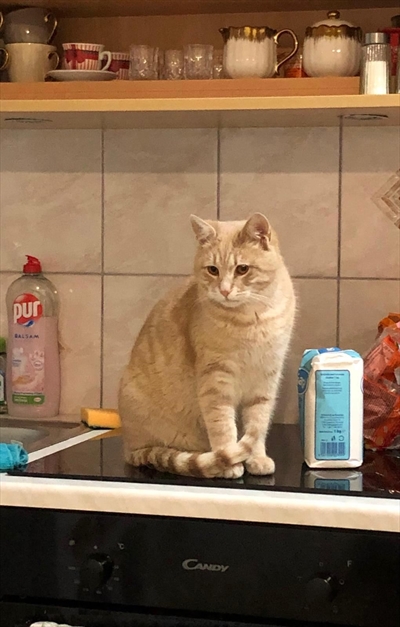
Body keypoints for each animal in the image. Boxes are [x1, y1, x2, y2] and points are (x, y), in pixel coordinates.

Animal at [119, 213, 296, 479]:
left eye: (242, 269)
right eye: (213, 270)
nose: (224, 290)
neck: (251, 318)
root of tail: (129, 448)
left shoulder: (266, 378)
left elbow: (257, 423)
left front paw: (257, 458)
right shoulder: (215, 381)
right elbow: (223, 428)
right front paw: (230, 463)